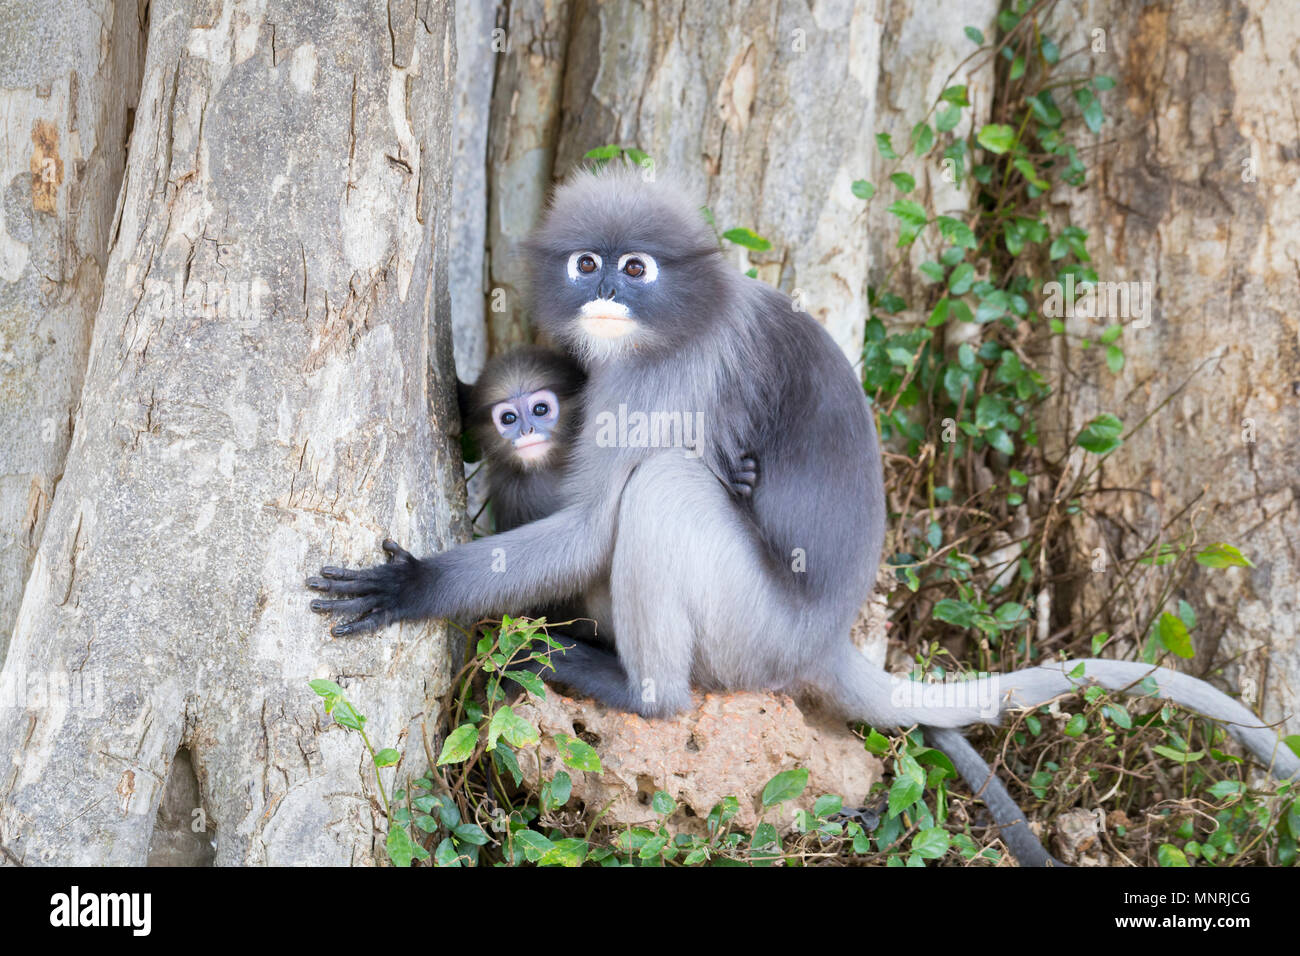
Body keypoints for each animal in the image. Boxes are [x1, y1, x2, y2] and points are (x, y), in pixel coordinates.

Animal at [309, 164, 1294, 868]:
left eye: (636, 267)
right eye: (587, 263)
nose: (607, 296)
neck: (680, 319)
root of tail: (822, 639)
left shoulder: (667, 377)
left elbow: (594, 525)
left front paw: (415, 584)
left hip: (749, 635)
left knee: (662, 495)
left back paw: (633, 690)